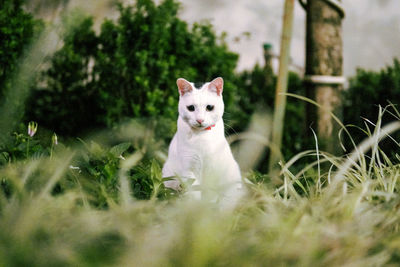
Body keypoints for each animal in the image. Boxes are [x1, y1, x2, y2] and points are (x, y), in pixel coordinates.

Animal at [162, 77, 244, 207]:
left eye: (209, 107)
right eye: (191, 108)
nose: (200, 120)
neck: (201, 136)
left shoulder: (213, 169)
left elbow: (211, 195)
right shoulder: (189, 170)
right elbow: (194, 195)